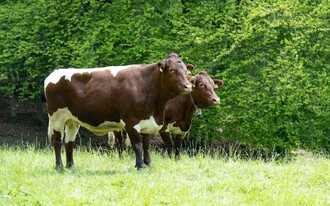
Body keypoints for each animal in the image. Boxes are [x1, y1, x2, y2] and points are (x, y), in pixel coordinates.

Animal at [44, 52, 193, 169]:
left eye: (186, 70)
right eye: (172, 70)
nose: (188, 86)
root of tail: (54, 73)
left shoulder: (147, 121)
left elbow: (146, 145)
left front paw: (148, 163)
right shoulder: (131, 122)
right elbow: (137, 144)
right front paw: (140, 165)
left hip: (72, 121)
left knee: (69, 142)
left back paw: (71, 166)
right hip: (57, 117)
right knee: (57, 141)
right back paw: (59, 167)